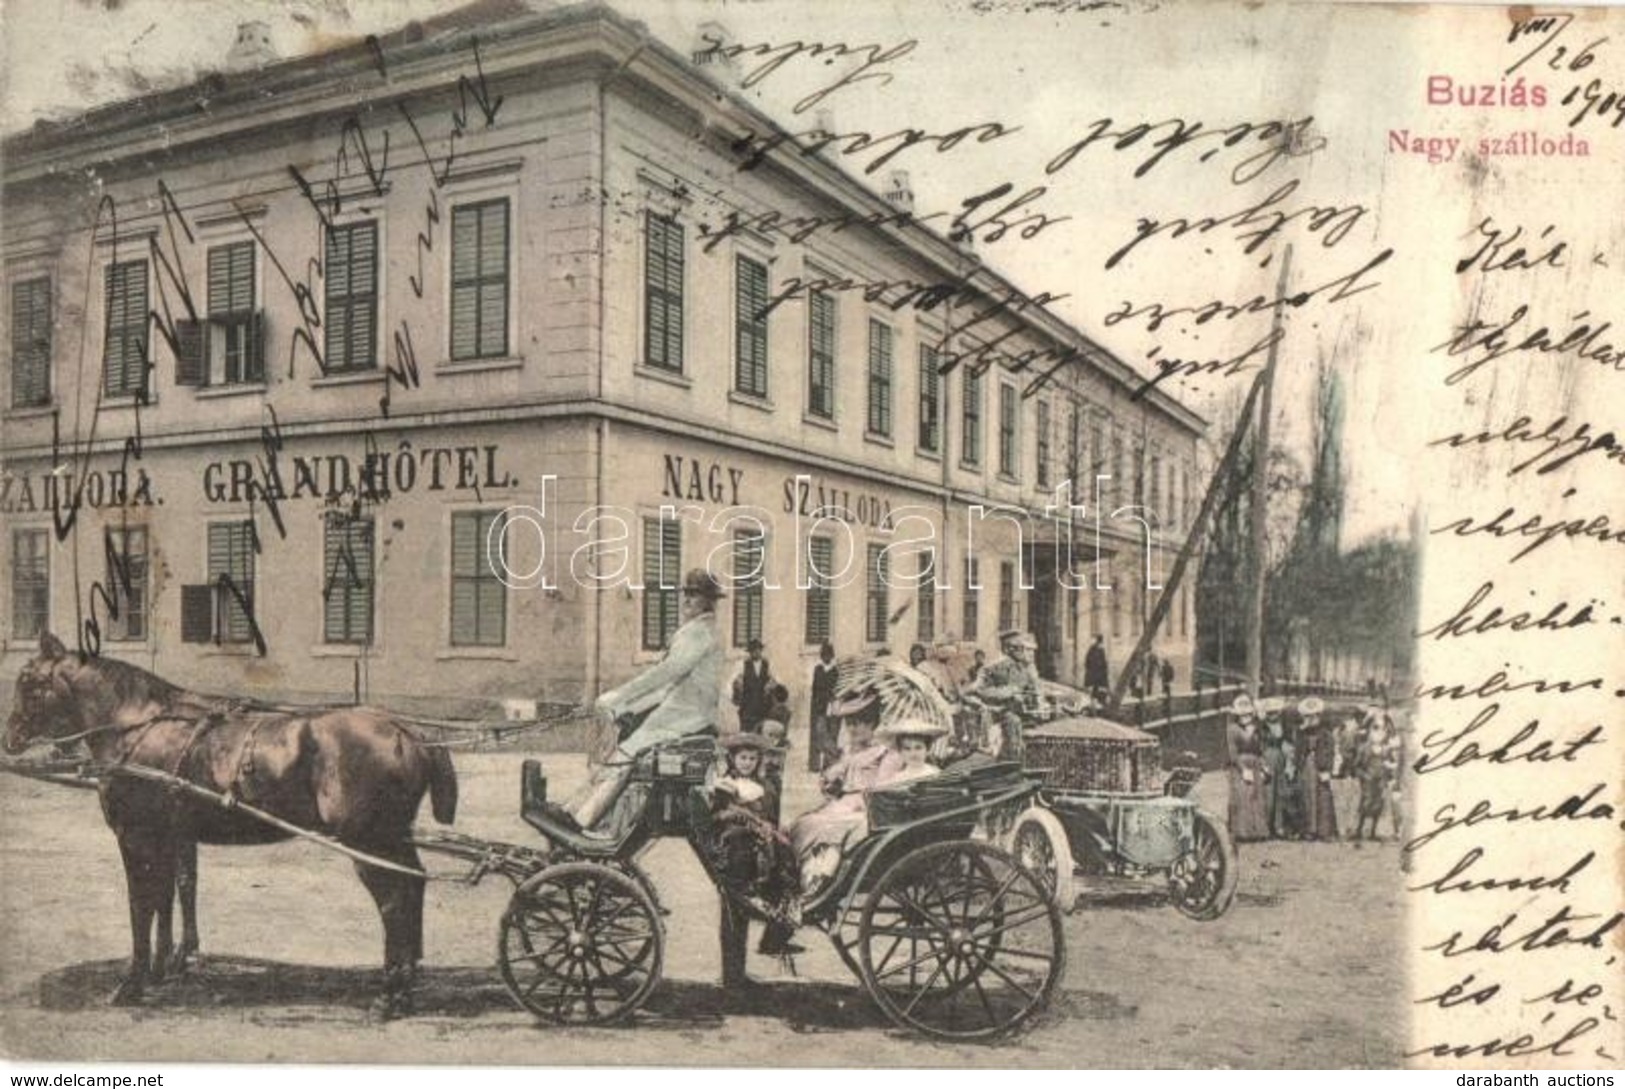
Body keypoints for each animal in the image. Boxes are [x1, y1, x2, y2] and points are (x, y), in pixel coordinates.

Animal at [3, 637, 458, 1020]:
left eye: (27, 680)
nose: (10, 738)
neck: (140, 727)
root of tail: (408, 732)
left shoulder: (136, 837)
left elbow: (141, 904)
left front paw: (132, 983)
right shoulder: (167, 836)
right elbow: (166, 896)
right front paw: (162, 968)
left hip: (367, 842)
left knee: (393, 903)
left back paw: (391, 994)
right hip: (391, 838)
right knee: (413, 884)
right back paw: (406, 983)